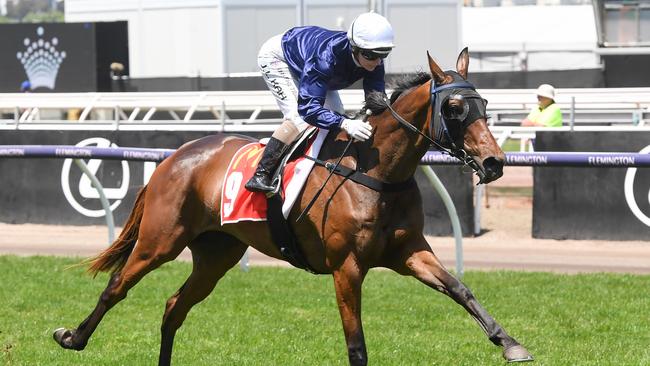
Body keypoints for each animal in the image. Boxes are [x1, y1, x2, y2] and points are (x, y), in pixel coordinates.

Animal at [52, 48, 532, 364]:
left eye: (484, 104)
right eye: (454, 106)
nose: (494, 162)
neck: (377, 173)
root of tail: (175, 156)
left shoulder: (409, 251)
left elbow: (460, 289)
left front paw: (509, 342)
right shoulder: (346, 267)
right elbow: (356, 344)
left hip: (217, 254)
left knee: (175, 307)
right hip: (161, 240)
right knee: (117, 286)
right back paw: (72, 336)